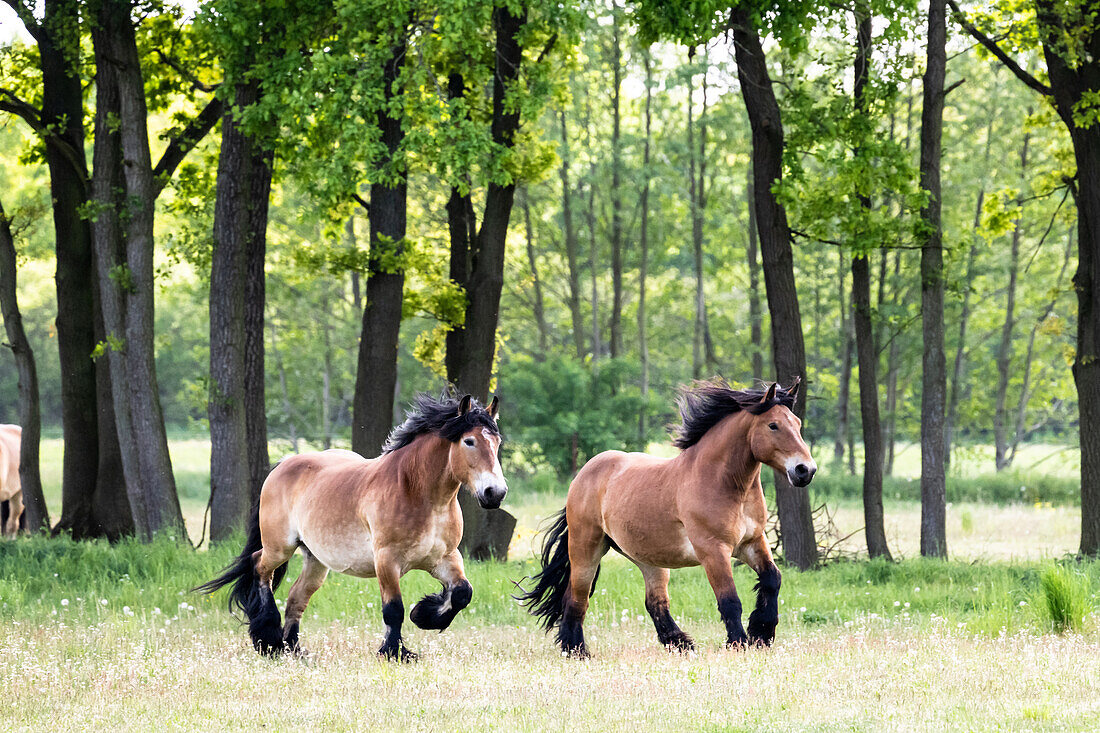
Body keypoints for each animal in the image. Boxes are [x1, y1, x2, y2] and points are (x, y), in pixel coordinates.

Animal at [195, 391, 503, 660]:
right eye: (469, 441)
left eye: (497, 442)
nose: (495, 493)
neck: (416, 491)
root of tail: (282, 465)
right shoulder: (386, 560)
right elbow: (394, 609)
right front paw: (394, 652)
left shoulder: (445, 557)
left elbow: (462, 592)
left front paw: (423, 615)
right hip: (279, 547)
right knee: (259, 567)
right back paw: (269, 640)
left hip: (316, 560)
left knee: (296, 598)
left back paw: (293, 649)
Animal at [517, 376, 818, 655]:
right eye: (773, 425)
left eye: (797, 423)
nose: (805, 470)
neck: (721, 482)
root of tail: (583, 474)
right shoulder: (713, 550)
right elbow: (729, 600)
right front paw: (739, 643)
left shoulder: (752, 542)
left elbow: (772, 579)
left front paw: (762, 633)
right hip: (586, 548)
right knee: (577, 597)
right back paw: (576, 650)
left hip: (648, 559)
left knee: (655, 602)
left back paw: (680, 644)